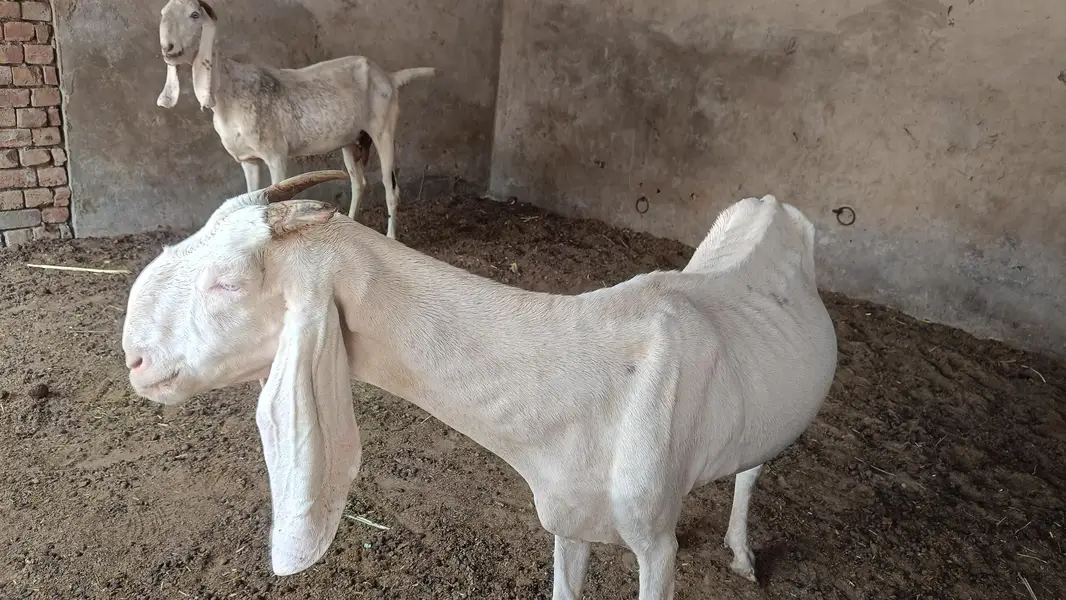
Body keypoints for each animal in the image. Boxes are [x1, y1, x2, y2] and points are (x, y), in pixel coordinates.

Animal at [121, 171, 838, 599]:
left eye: (228, 283)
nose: (134, 358)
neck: (589, 374)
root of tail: (771, 204)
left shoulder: (655, 545)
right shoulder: (567, 516)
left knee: (753, 470)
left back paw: (742, 554)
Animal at [156, 0, 435, 239]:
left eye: (194, 15)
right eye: (163, 14)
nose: (167, 48)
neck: (229, 93)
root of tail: (389, 76)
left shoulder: (276, 155)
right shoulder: (248, 160)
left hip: (383, 128)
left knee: (391, 188)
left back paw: (391, 237)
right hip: (351, 139)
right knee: (359, 182)